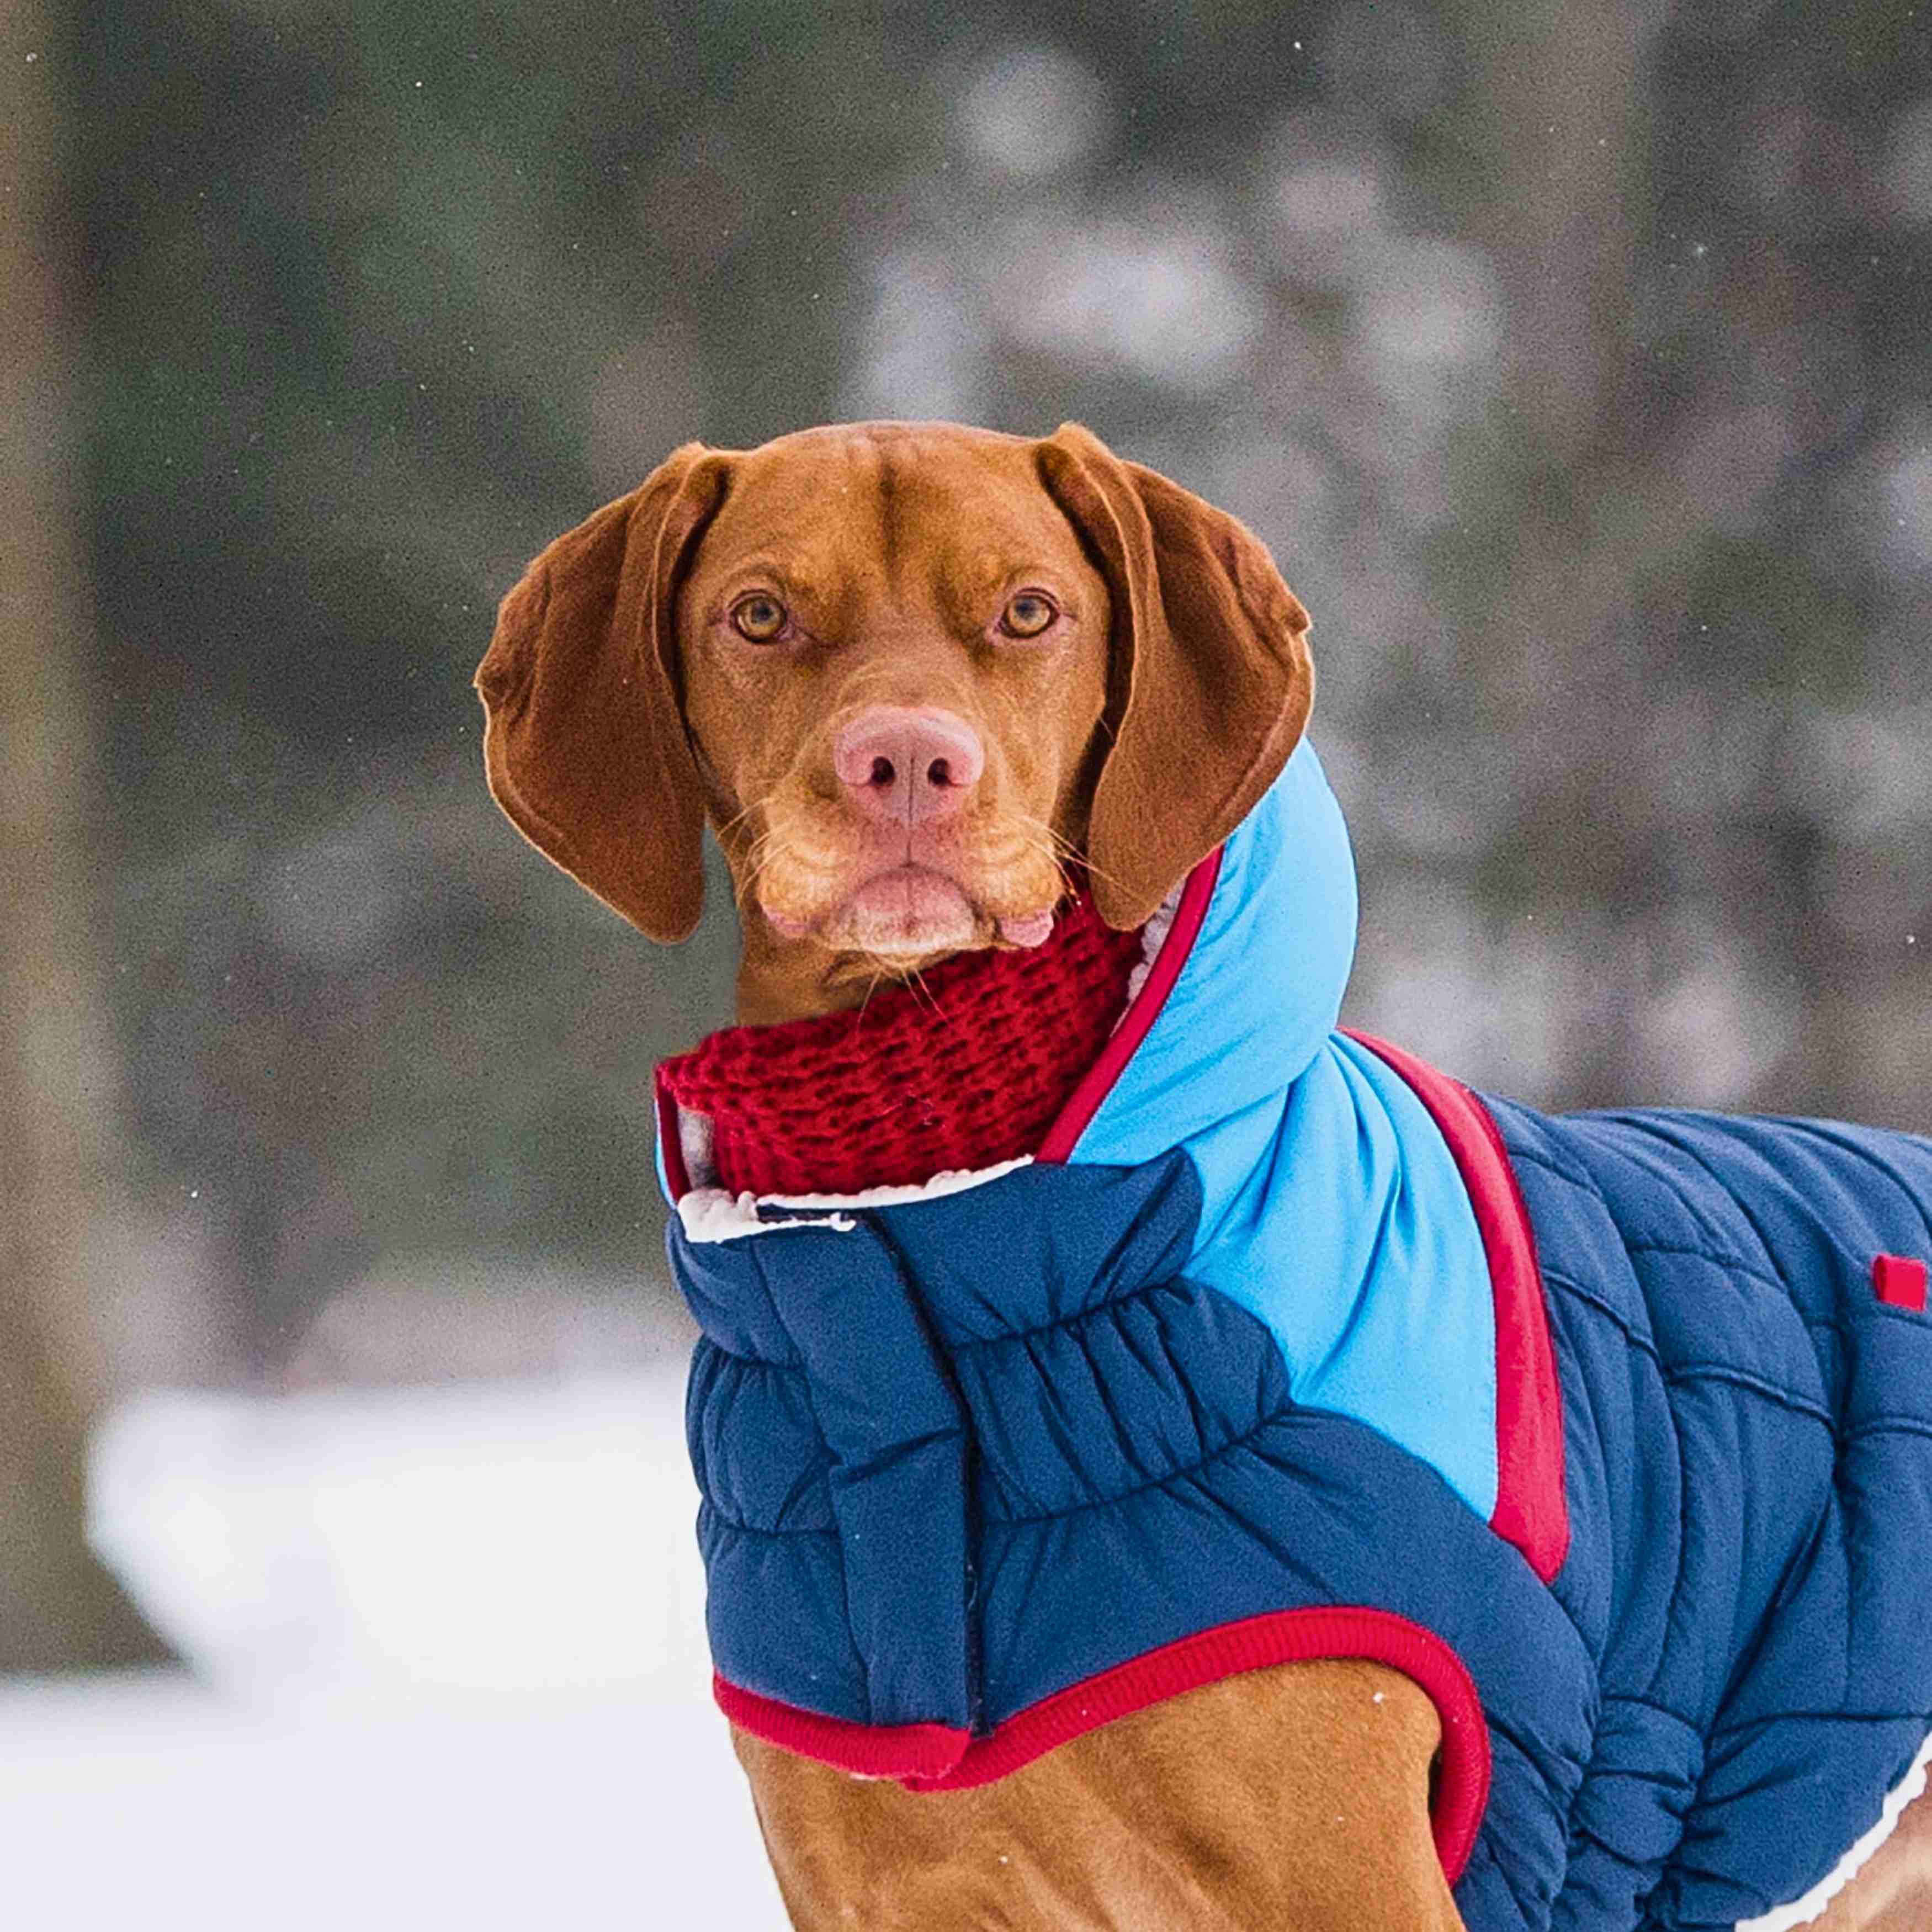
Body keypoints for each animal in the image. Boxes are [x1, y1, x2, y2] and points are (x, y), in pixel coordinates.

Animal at [471, 423, 1932, 1932]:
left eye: (1028, 612)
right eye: (758, 616)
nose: (906, 761)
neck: (914, 1217)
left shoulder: (1346, 1879)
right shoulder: (882, 1892)